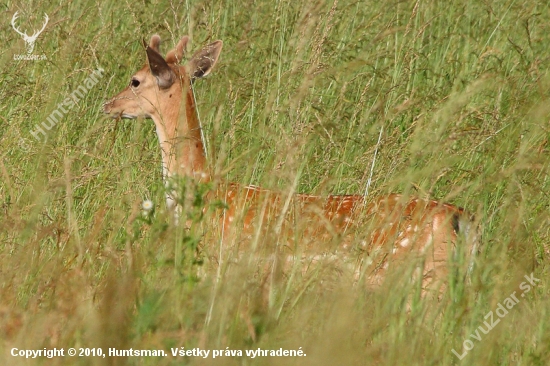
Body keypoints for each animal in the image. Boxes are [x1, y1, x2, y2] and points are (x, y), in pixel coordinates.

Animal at [104, 33, 484, 292]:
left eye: (135, 80)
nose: (108, 104)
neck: (199, 187)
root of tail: (459, 218)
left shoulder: (218, 263)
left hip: (415, 277)